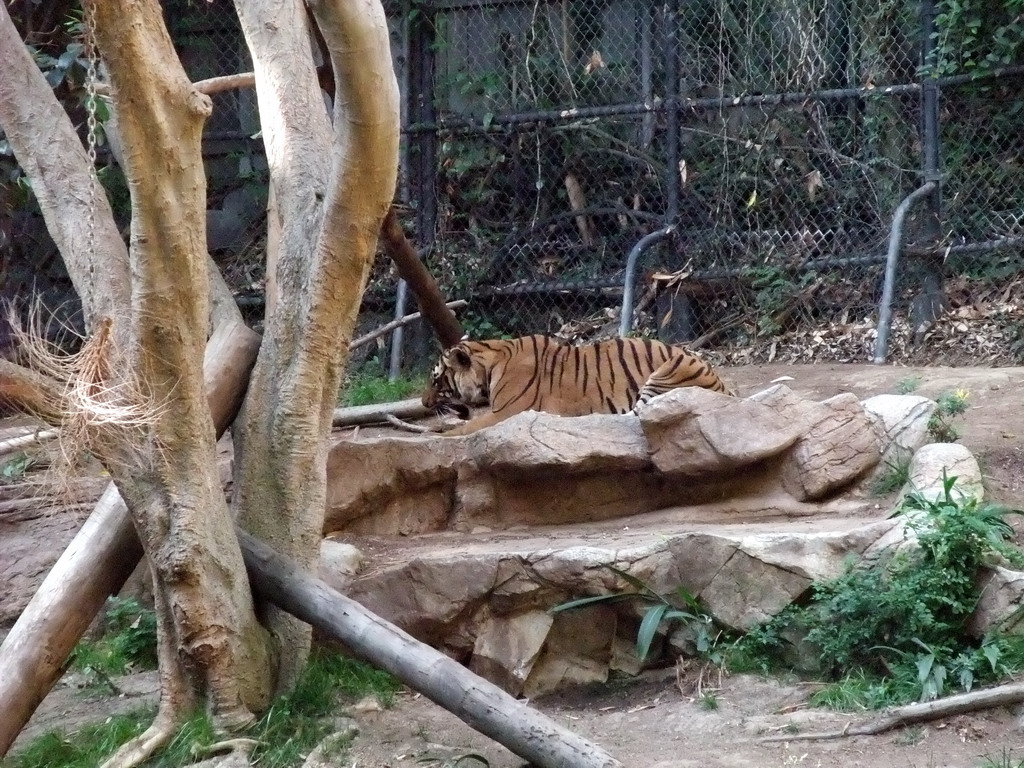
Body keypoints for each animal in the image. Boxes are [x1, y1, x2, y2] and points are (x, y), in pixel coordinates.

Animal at [421, 333, 729, 436]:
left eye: (436, 380)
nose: (423, 403)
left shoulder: (506, 412)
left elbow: (469, 426)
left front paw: (440, 432)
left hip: (671, 368)